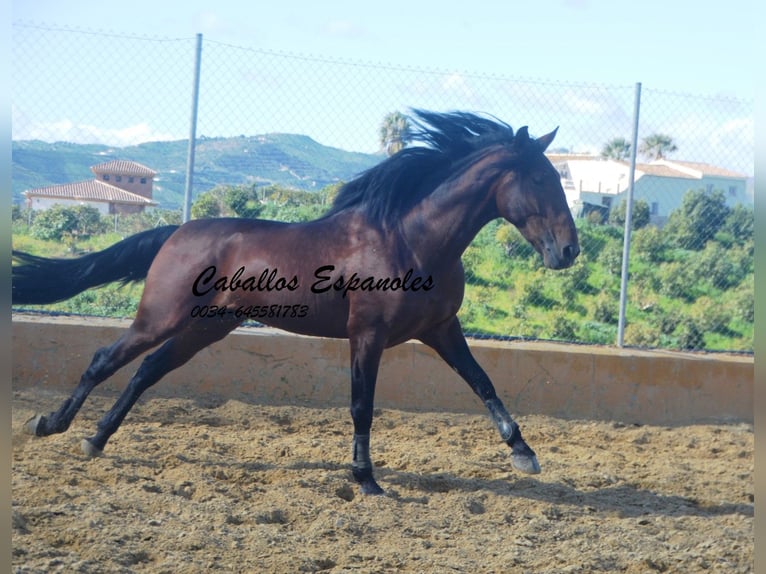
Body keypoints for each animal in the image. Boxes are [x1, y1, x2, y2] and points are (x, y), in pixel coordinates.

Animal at [12, 111, 580, 496]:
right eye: (541, 178)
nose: (569, 250)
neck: (411, 239)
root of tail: (176, 231)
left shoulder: (442, 328)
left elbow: (484, 383)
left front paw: (525, 454)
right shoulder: (367, 335)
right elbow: (361, 404)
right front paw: (366, 480)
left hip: (206, 325)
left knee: (146, 371)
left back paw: (95, 439)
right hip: (163, 317)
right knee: (106, 360)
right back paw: (52, 426)